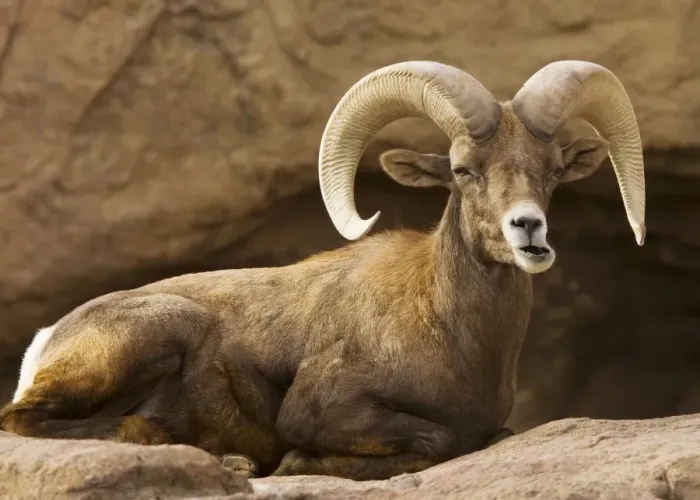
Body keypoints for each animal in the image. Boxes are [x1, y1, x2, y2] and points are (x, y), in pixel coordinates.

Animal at [0, 60, 646, 481]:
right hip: (156, 333)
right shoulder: (326, 408)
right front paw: (293, 463)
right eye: (463, 169)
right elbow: (436, 438)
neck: (453, 334)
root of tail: (46, 340)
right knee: (24, 420)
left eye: (554, 169)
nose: (528, 229)